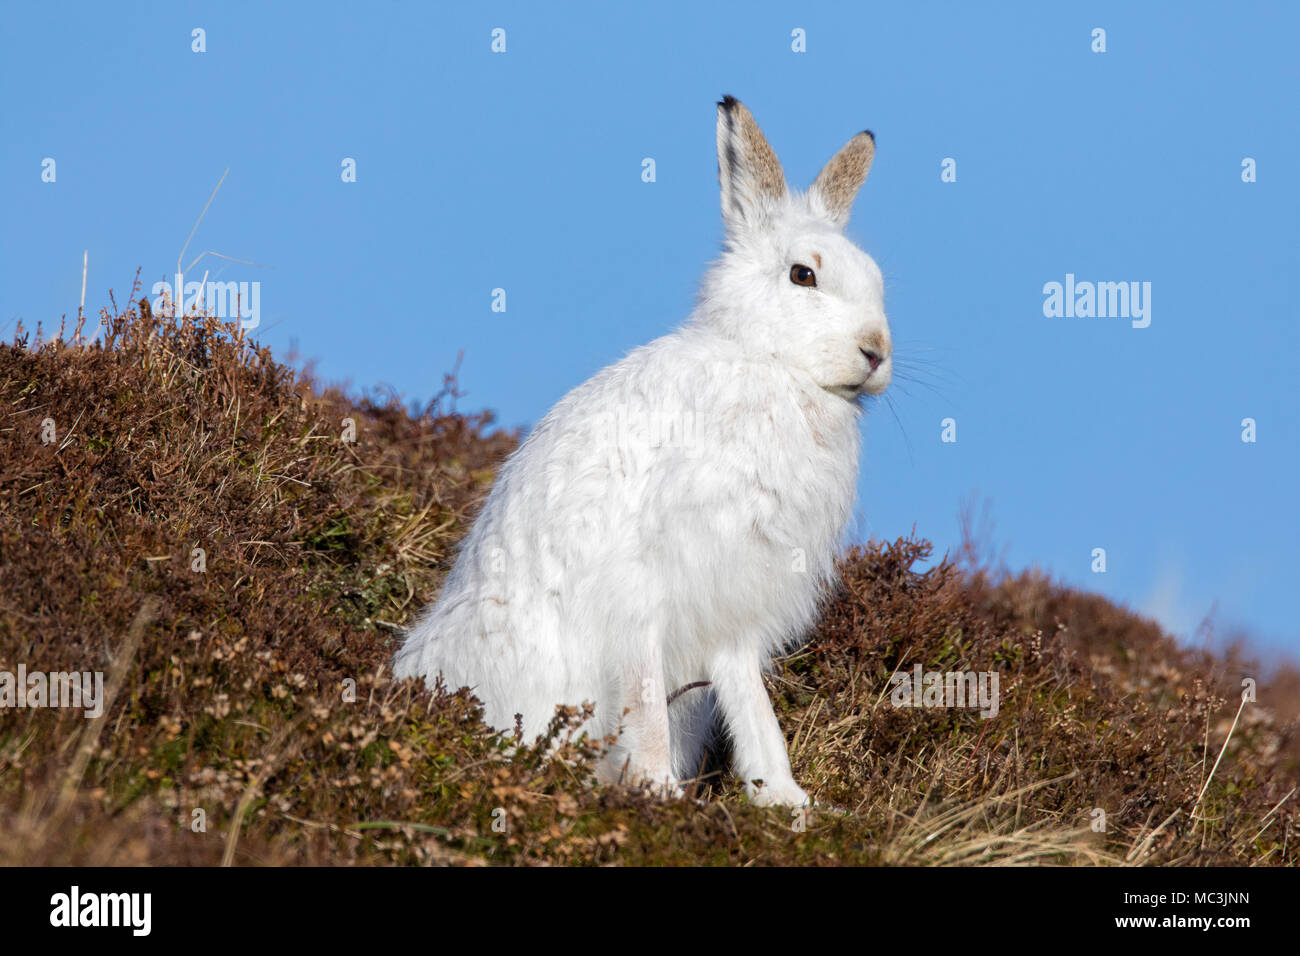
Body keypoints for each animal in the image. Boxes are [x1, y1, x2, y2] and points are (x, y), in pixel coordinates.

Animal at [394, 95, 891, 807]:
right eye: (804, 275)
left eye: (876, 280)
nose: (877, 350)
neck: (767, 364)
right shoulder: (640, 591)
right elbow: (644, 702)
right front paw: (658, 792)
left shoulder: (735, 611)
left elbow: (752, 705)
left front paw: (786, 801)